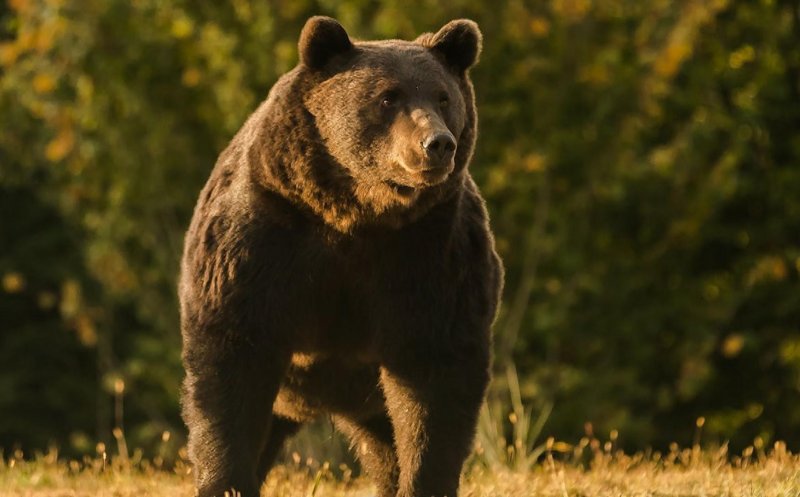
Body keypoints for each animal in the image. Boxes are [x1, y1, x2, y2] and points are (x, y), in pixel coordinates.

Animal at [182, 15, 504, 496]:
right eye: (388, 96)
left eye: (444, 97)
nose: (437, 143)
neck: (357, 212)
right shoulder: (262, 238)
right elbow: (231, 360)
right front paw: (226, 481)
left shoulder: (431, 252)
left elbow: (435, 378)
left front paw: (423, 479)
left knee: (384, 442)